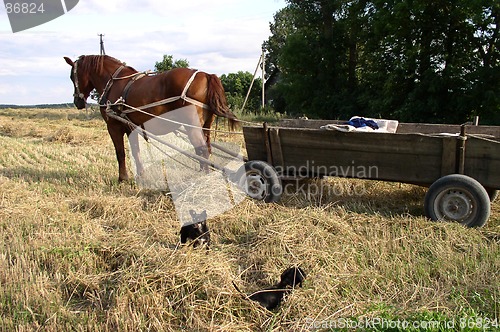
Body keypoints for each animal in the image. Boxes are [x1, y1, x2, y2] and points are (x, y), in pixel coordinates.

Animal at [63, 55, 236, 183]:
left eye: (72, 76)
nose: (77, 101)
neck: (114, 83)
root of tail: (206, 75)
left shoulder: (114, 126)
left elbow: (120, 153)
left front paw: (123, 178)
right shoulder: (130, 127)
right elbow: (135, 151)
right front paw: (141, 175)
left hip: (192, 125)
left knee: (201, 149)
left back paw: (202, 177)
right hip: (205, 125)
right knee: (206, 148)